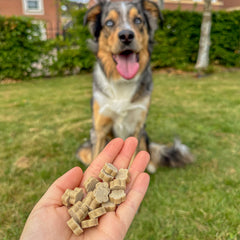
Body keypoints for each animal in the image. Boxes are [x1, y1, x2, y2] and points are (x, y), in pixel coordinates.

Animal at [77, 0, 193, 172]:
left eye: (138, 20)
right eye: (109, 23)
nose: (126, 35)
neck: (122, 82)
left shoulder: (137, 127)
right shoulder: (100, 129)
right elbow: (97, 155)